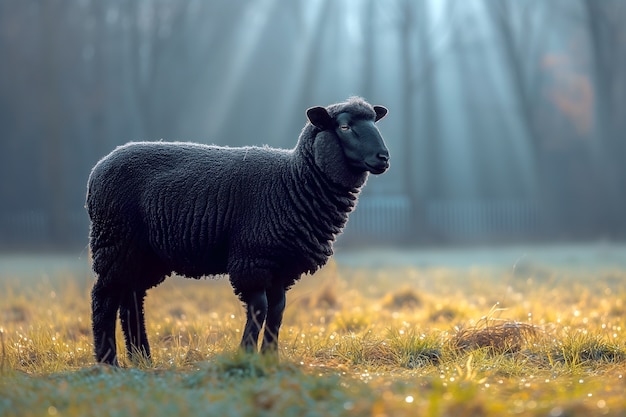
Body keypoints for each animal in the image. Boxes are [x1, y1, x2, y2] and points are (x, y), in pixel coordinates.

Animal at [85, 97, 388, 364]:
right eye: (344, 126)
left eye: (375, 122)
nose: (384, 157)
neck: (293, 181)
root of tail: (97, 169)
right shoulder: (252, 258)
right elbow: (259, 309)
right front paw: (246, 354)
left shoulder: (282, 264)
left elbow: (277, 311)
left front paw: (270, 358)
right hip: (116, 240)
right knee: (104, 298)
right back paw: (109, 362)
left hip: (141, 253)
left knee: (131, 299)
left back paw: (142, 360)